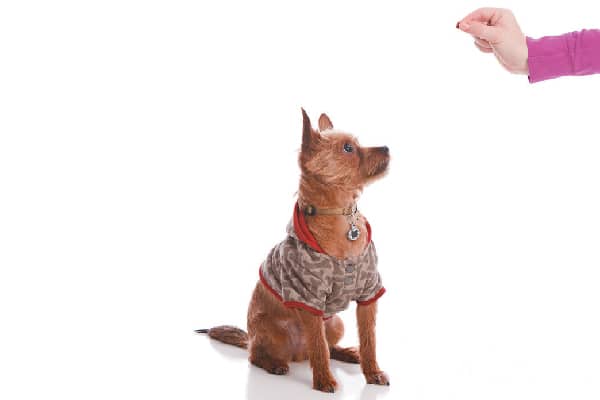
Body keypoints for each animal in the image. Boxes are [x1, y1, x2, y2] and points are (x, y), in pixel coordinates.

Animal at [199, 109, 392, 394]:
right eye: (348, 148)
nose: (387, 147)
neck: (342, 217)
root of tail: (297, 354)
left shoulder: (369, 293)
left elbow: (369, 340)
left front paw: (373, 372)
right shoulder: (308, 299)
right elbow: (319, 348)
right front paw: (324, 380)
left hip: (335, 323)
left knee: (327, 346)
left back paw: (346, 353)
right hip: (272, 331)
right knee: (259, 354)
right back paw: (275, 364)